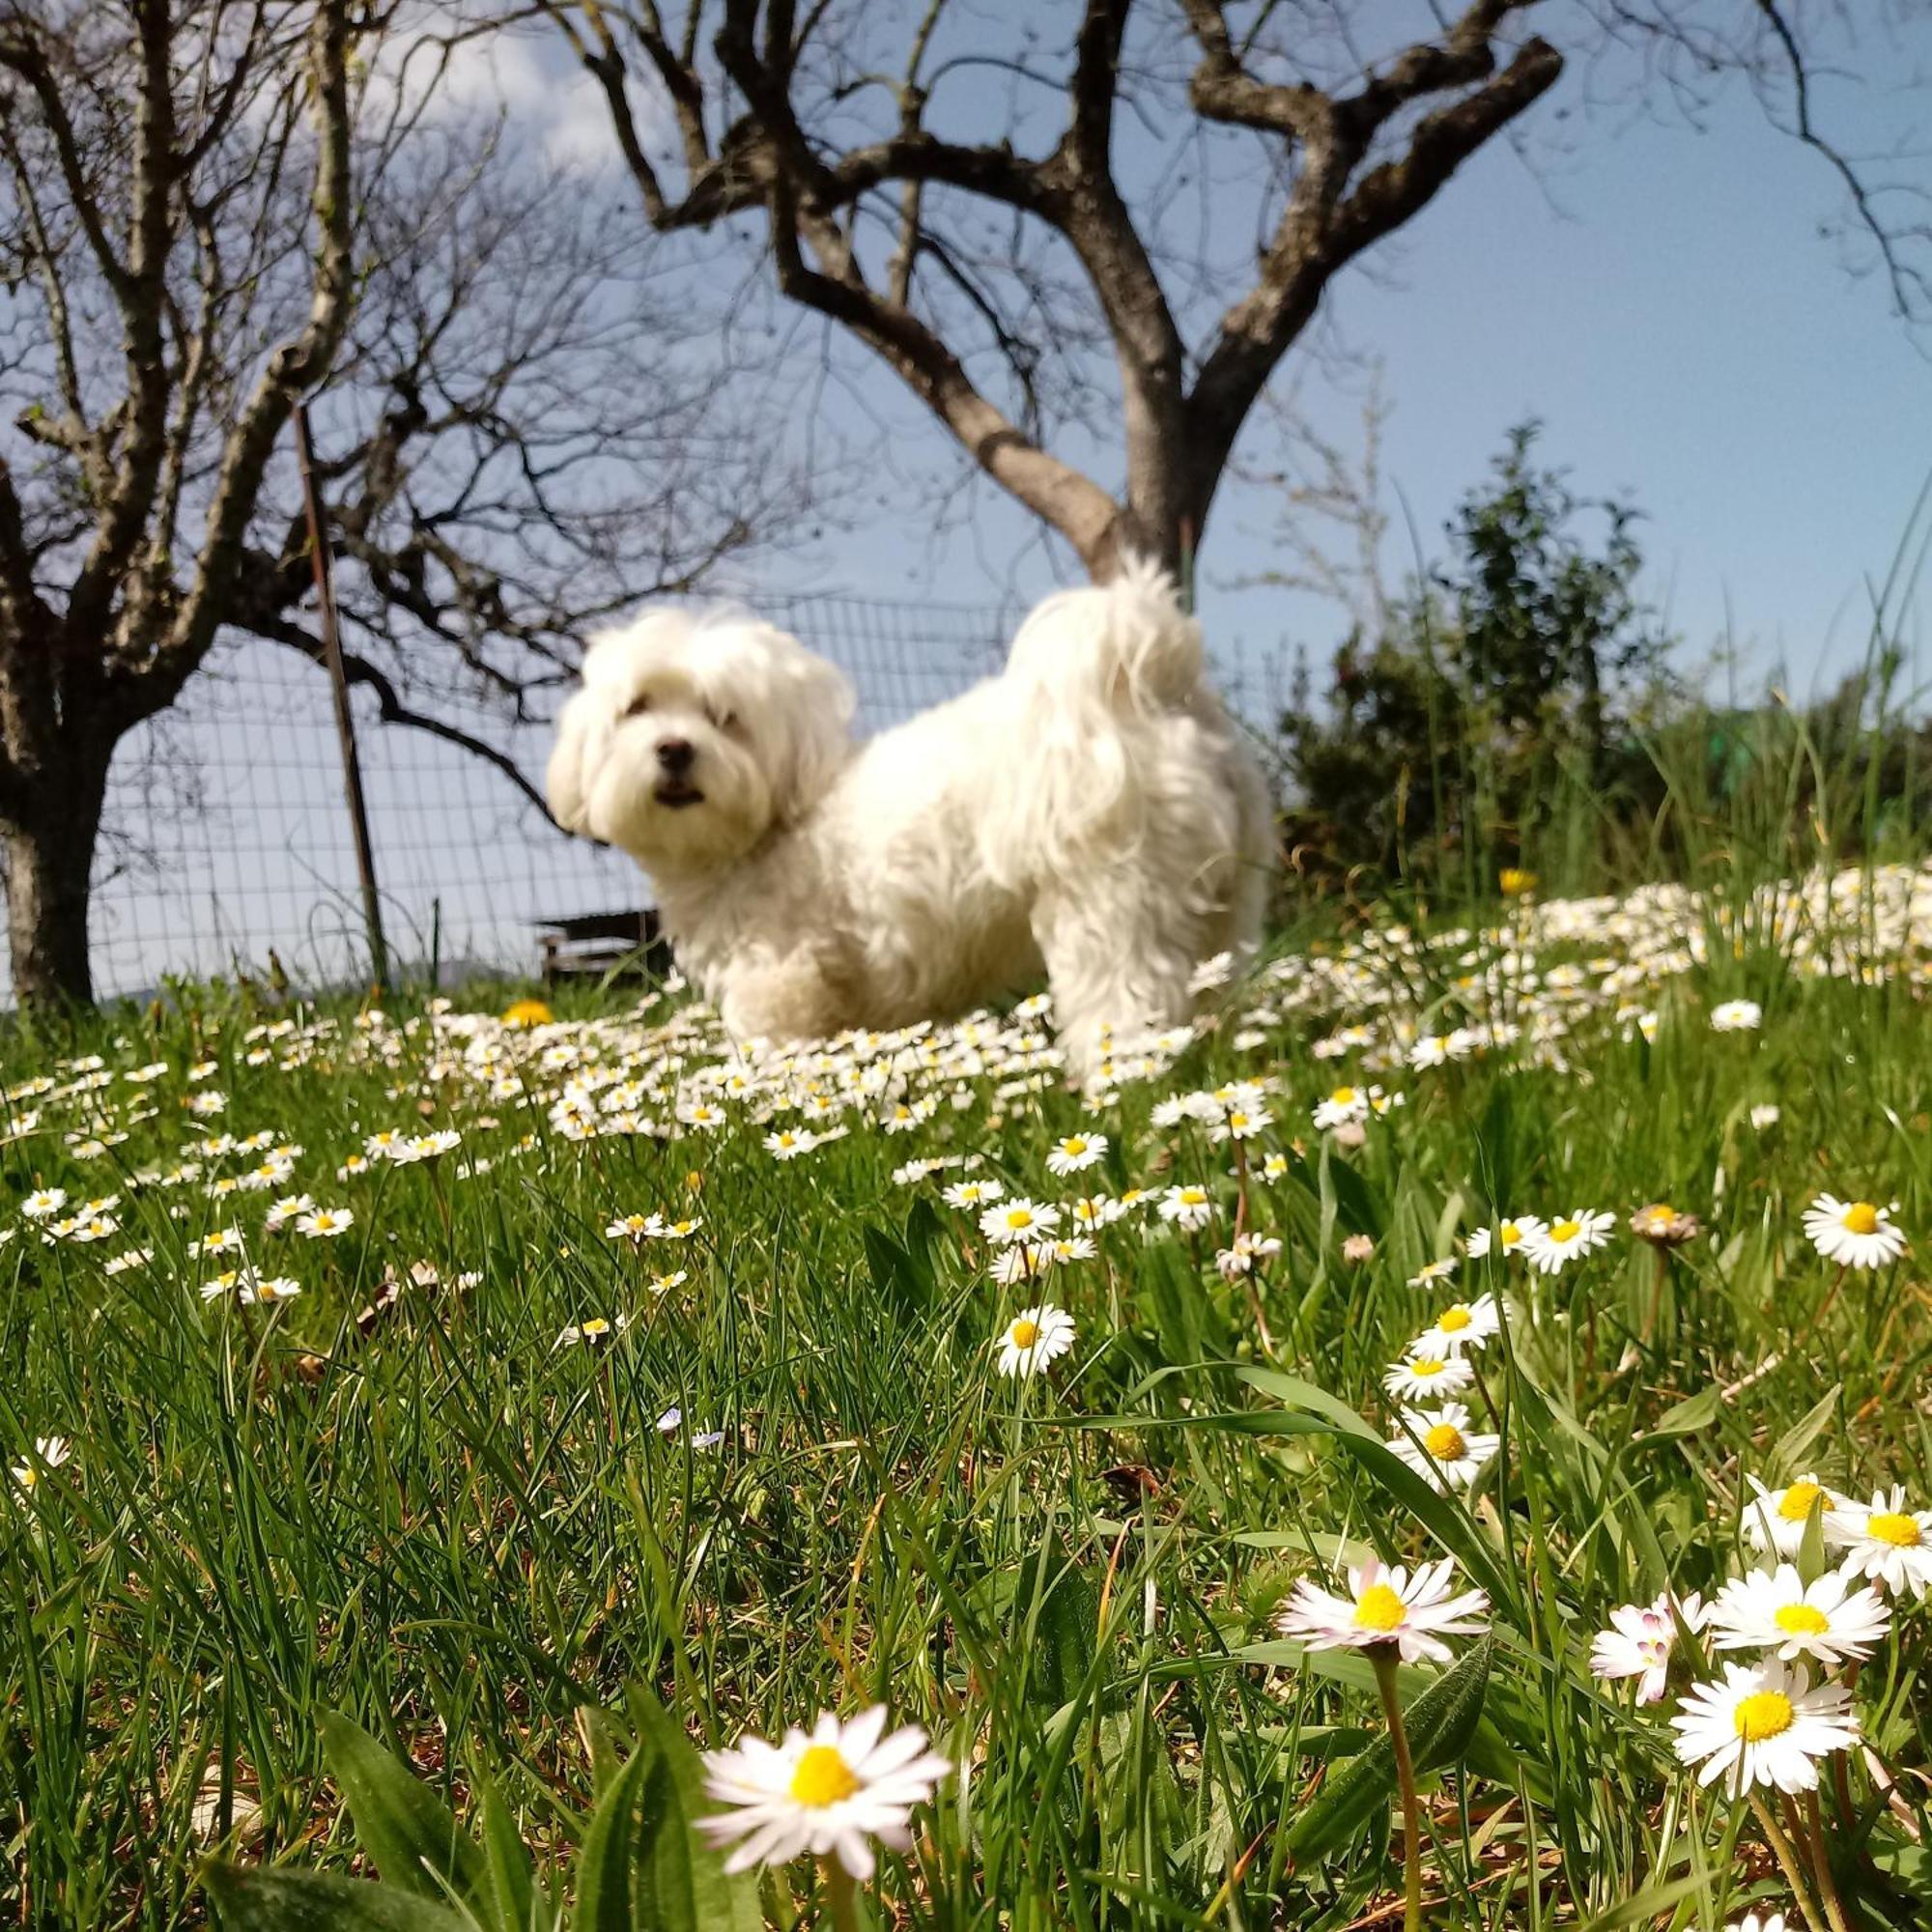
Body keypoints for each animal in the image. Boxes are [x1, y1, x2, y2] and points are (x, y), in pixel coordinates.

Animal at [549, 560, 1267, 1082]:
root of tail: (1151, 688)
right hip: (1218, 910)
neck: (765, 831)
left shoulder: (775, 988)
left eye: (724, 716)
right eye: (637, 707)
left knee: (1126, 1008)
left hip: (1111, 906)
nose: (674, 749)